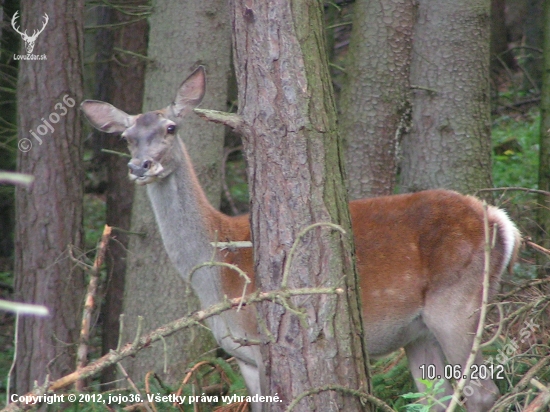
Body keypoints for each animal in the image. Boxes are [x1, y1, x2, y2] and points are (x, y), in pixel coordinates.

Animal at [82, 67, 520, 412]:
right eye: (126, 137)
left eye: (170, 128)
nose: (140, 166)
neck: (216, 273)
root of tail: (500, 221)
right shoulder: (243, 357)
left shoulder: (262, 339)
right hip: (419, 332)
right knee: (436, 397)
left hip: (458, 301)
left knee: (482, 391)